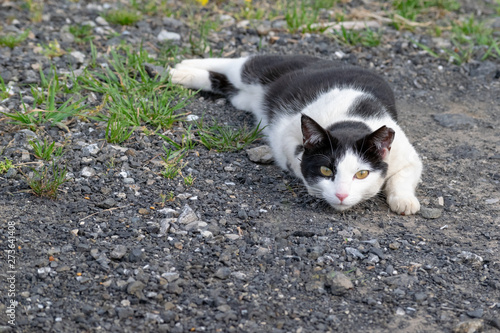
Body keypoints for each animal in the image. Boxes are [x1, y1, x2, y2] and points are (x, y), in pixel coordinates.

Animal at [171, 55, 422, 214]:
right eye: (326, 170)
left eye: (361, 174)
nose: (341, 195)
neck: (351, 119)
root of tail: (322, 60)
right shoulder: (287, 132)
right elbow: (293, 157)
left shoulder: (405, 153)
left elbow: (405, 174)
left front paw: (404, 201)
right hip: (264, 68)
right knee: (239, 62)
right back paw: (181, 66)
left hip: (240, 98)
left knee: (224, 83)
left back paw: (183, 74)